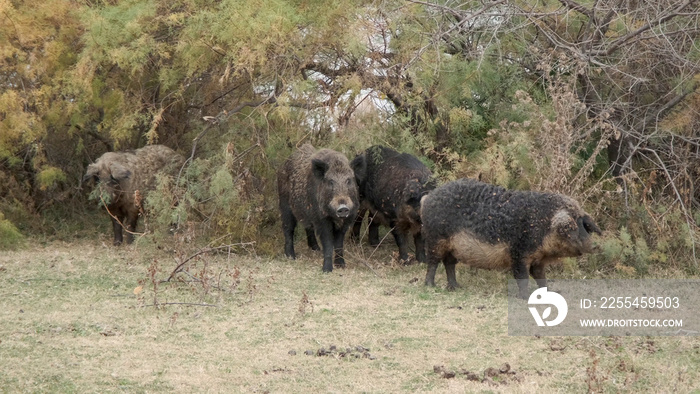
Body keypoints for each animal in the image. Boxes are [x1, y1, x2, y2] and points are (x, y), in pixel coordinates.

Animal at [422, 179, 600, 298]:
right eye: (572, 225)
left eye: (584, 224)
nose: (595, 246)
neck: (543, 226)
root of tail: (428, 197)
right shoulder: (519, 252)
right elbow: (522, 276)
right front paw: (525, 297)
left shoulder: (538, 259)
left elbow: (540, 276)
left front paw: (549, 292)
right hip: (435, 238)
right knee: (433, 261)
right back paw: (430, 286)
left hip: (453, 247)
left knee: (449, 263)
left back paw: (456, 287)